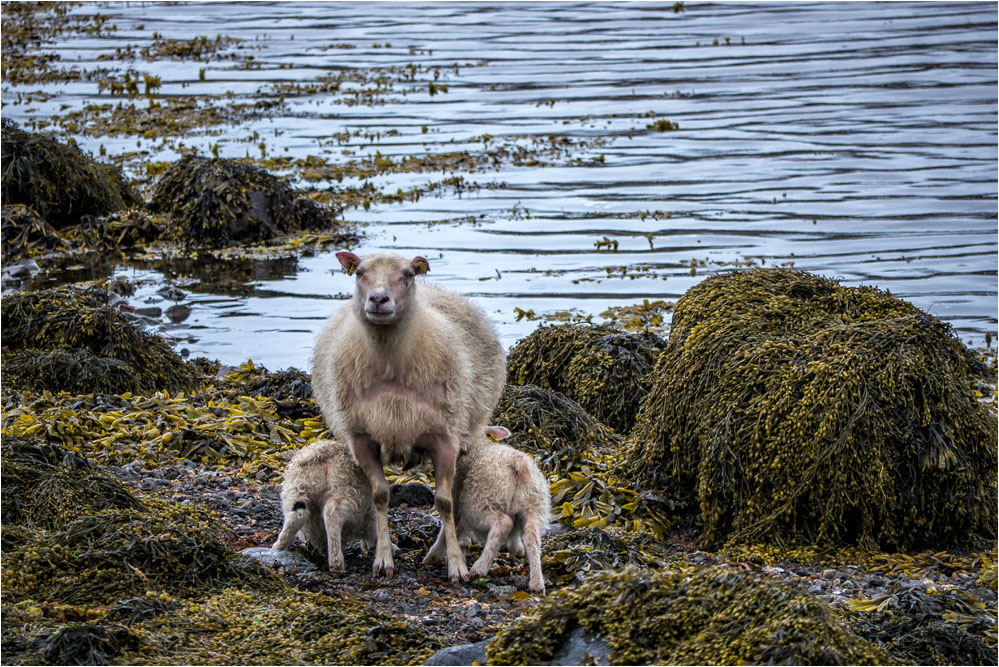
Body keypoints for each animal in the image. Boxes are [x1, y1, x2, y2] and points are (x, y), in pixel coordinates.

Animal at [272, 440, 376, 572]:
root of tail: (325, 453)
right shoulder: (368, 513)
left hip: (297, 489)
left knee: (297, 515)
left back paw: (279, 547)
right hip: (350, 493)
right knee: (332, 512)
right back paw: (336, 563)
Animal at [312, 253, 508, 580]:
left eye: (407, 275)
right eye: (359, 272)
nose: (379, 299)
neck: (389, 361)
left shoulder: (445, 439)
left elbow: (445, 502)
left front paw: (456, 564)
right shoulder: (361, 440)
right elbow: (379, 496)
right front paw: (383, 557)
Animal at [424, 426, 556, 592]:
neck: (479, 444)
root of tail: (518, 465)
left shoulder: (456, 494)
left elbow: (448, 524)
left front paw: (433, 555)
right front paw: (516, 547)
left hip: (480, 503)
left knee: (503, 523)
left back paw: (479, 568)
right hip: (533, 505)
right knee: (531, 537)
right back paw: (537, 583)